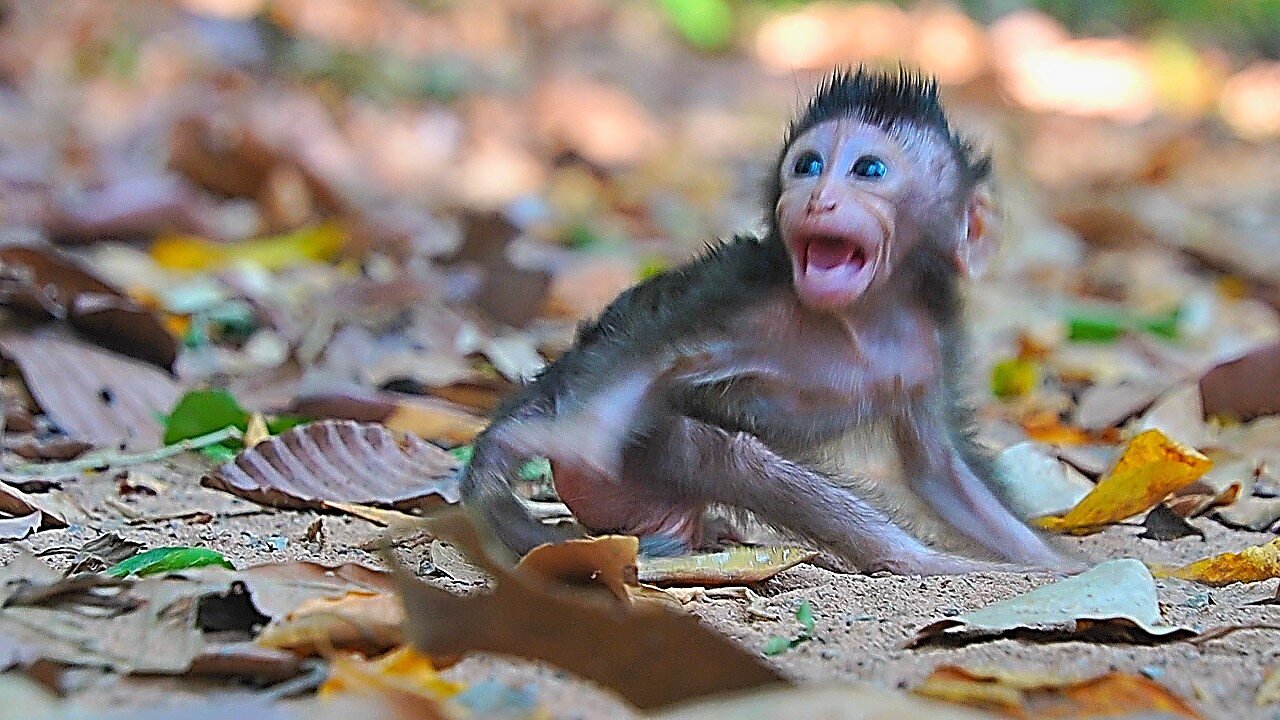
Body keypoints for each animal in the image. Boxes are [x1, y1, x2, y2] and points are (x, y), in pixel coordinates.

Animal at [465, 67, 1064, 571]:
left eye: (868, 169)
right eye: (808, 166)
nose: (818, 198)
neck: (862, 318)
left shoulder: (931, 346)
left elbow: (939, 471)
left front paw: (1052, 560)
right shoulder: (741, 296)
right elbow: (644, 349)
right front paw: (569, 436)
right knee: (726, 455)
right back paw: (924, 561)